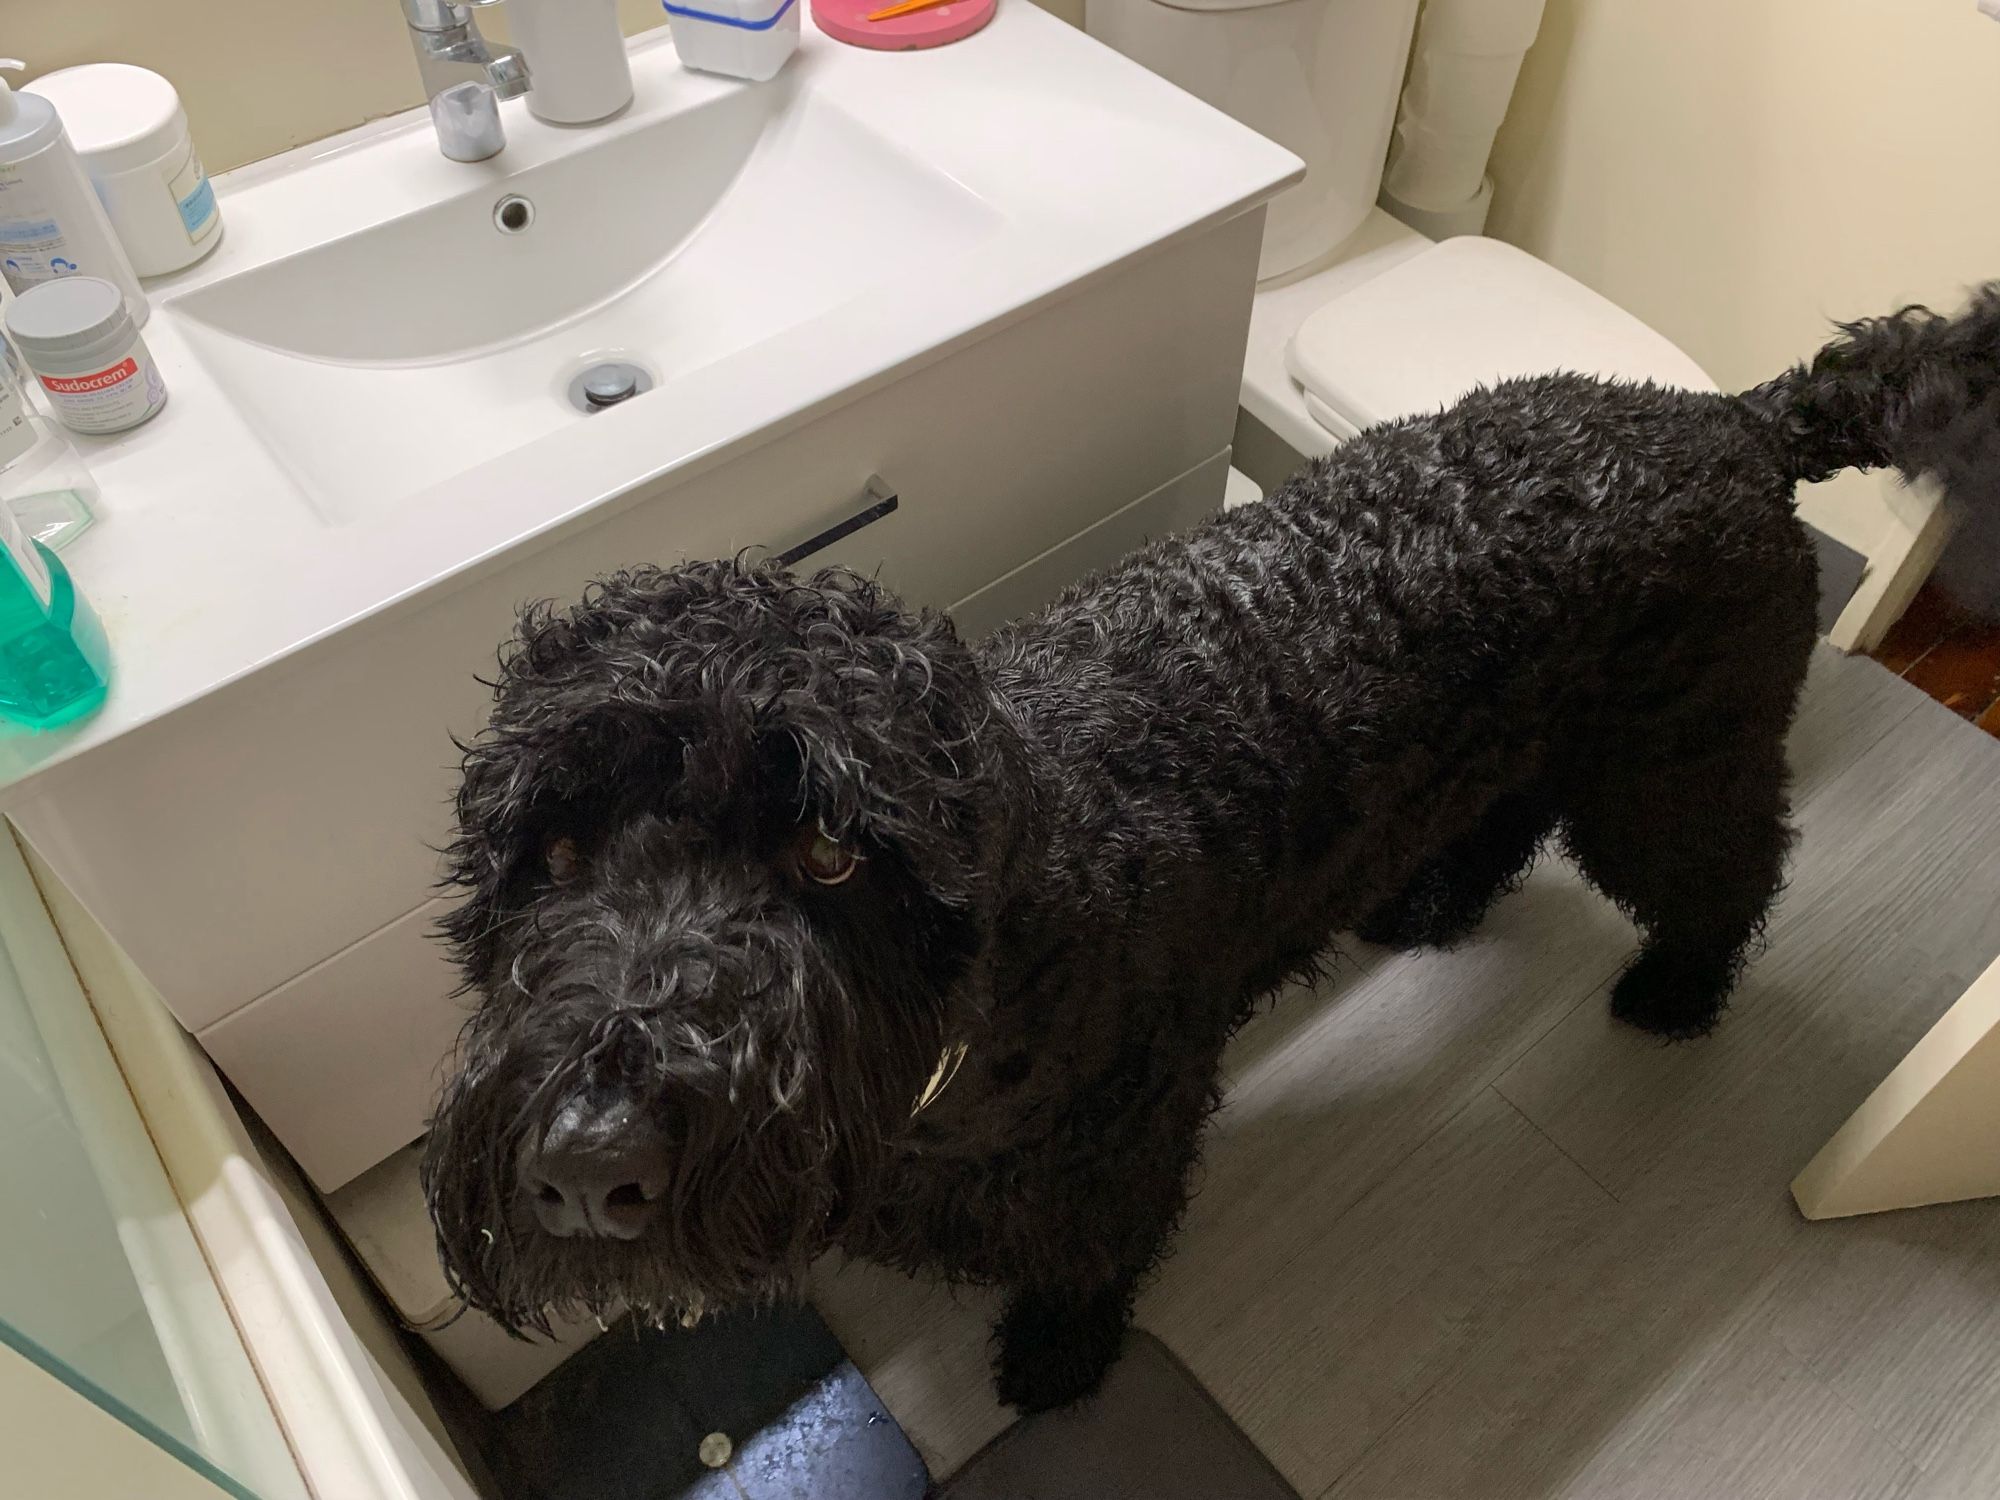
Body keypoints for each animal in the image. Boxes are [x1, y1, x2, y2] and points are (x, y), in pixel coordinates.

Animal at [422, 290, 2000, 1424]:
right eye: (551, 846)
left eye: (825, 848)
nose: (588, 1161)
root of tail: (1732, 420)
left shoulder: (1121, 1144)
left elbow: (1091, 1255)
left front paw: (1059, 1359)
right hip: (1534, 743)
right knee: (1503, 818)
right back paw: (1436, 901)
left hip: (1670, 769)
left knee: (1729, 870)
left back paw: (1676, 991)